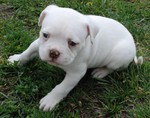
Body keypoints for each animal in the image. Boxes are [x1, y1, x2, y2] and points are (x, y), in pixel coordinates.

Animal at [7, 5, 143, 111]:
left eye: (72, 43)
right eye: (45, 35)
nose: (54, 52)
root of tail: (132, 44)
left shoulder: (75, 74)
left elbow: (62, 88)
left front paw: (50, 100)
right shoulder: (38, 45)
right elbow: (28, 52)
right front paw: (16, 60)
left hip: (118, 56)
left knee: (113, 68)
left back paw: (101, 71)